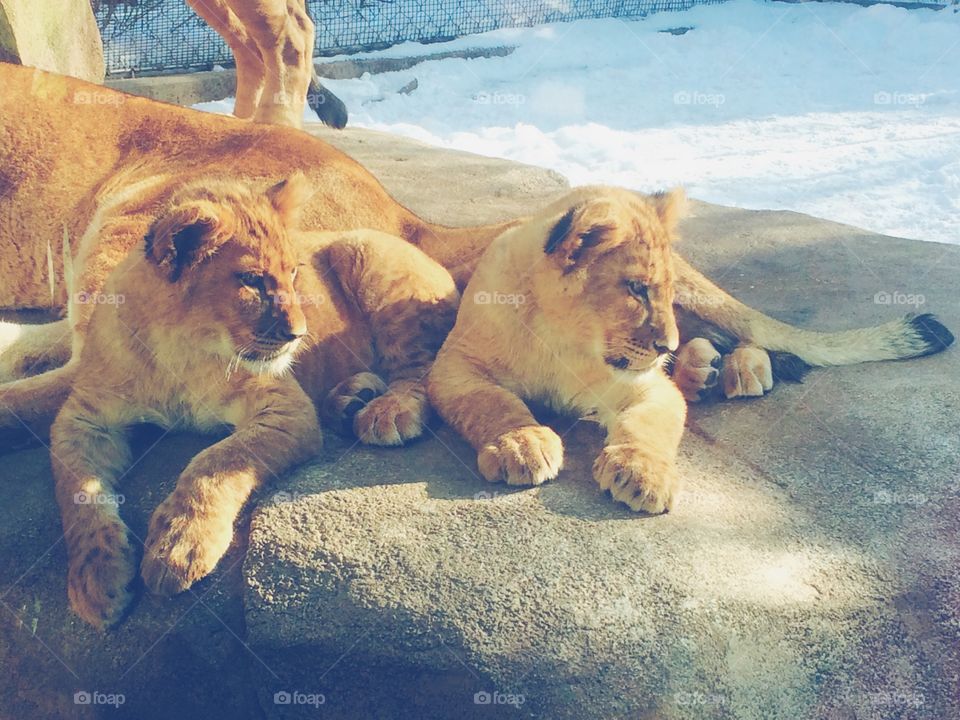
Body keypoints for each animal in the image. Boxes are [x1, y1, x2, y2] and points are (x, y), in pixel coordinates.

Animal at [19, 173, 457, 629]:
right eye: (252, 280)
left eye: (295, 274)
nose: (299, 335)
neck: (179, 349)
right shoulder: (84, 417)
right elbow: (77, 492)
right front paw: (97, 577)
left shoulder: (285, 407)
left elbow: (217, 461)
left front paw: (179, 543)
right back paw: (350, 399)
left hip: (367, 256)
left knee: (421, 368)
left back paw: (388, 410)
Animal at [427, 187, 955, 513]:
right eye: (636, 290)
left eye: (659, 290)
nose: (667, 343)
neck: (561, 338)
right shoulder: (452, 366)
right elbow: (492, 402)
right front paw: (522, 443)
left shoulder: (644, 386)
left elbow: (651, 423)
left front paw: (641, 474)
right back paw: (702, 365)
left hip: (705, 298)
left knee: (755, 331)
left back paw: (738, 369)